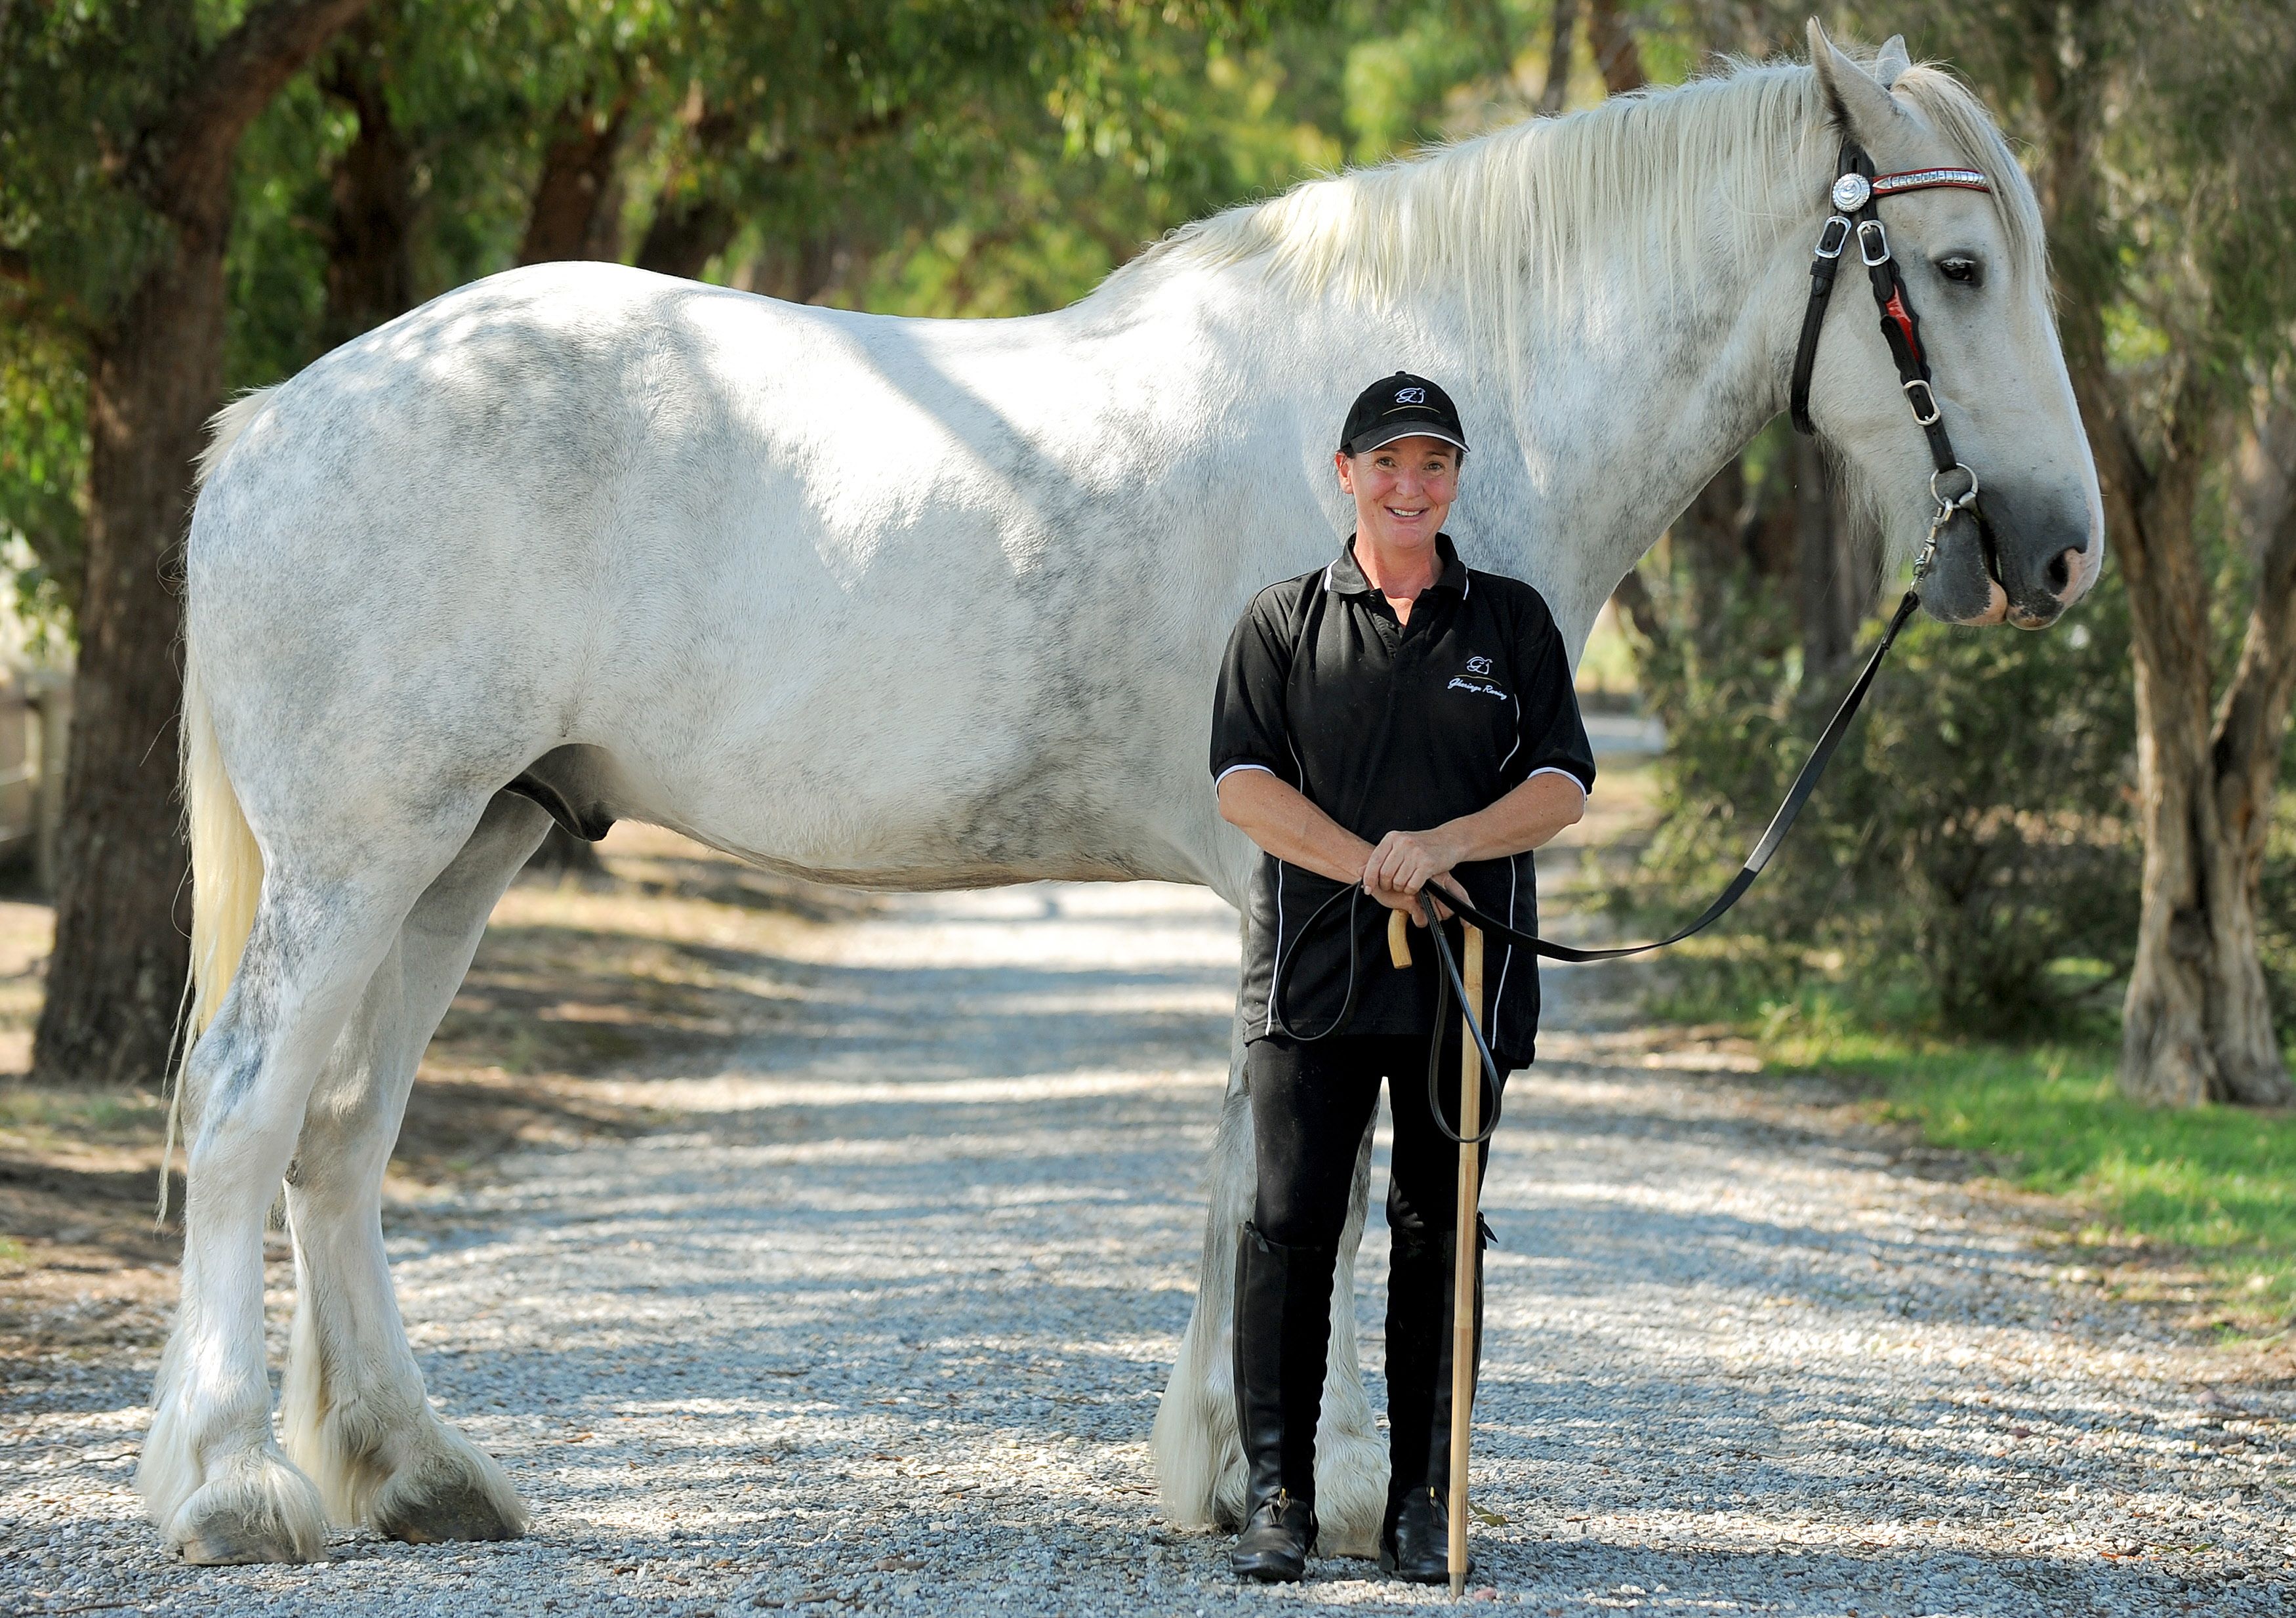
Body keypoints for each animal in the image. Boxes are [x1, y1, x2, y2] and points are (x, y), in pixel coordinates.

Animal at [143, 25, 2103, 1560]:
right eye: (1959, 273)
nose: (2061, 553)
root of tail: (277, 418)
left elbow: (1264, 1163)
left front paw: (1238, 1468)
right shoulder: (1310, 880)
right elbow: (1300, 1169)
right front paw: (1302, 1479)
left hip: (466, 848)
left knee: (341, 1143)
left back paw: (417, 1474)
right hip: (363, 854)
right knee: (246, 1117)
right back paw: (229, 1488)